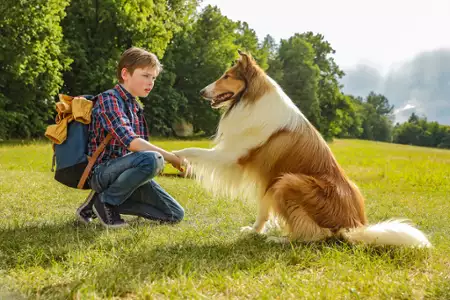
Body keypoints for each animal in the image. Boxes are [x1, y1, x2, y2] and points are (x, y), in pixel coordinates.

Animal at [171, 51, 430, 248]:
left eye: (227, 76)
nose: (201, 92)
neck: (252, 100)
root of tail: (353, 226)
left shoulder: (232, 157)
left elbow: (192, 150)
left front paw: (174, 156)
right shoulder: (268, 179)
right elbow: (262, 210)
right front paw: (254, 231)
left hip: (288, 182)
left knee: (315, 236)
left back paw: (279, 240)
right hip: (289, 183)